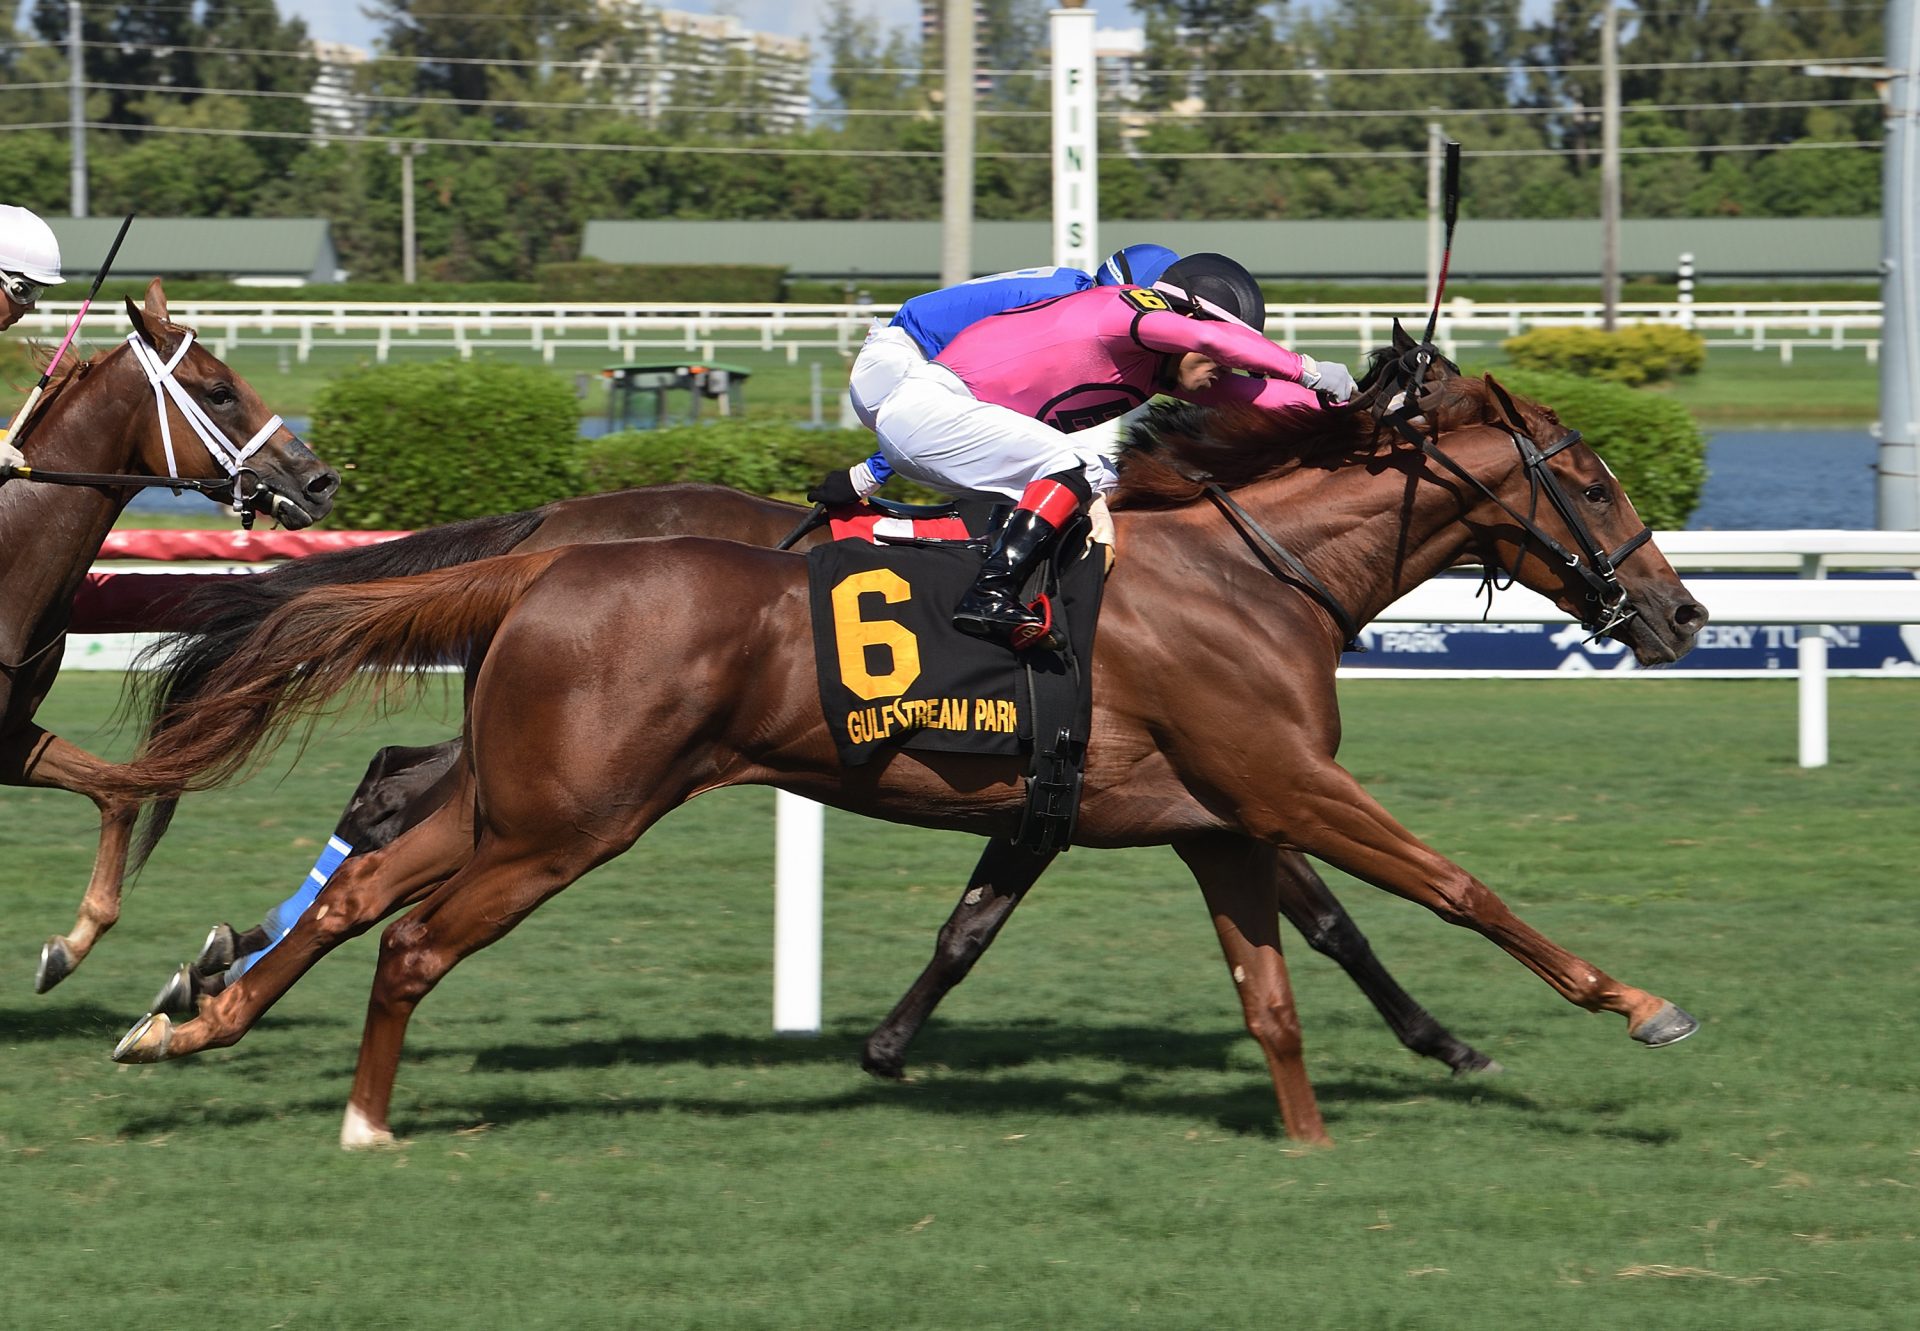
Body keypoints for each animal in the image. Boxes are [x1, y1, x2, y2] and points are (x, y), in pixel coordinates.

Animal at [101, 374, 1712, 1144]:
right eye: (1589, 476)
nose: (1682, 610)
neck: (1249, 568)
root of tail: (548, 554)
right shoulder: (1276, 780)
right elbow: (1442, 887)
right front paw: (1622, 1005)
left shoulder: (1191, 808)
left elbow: (1044, 924)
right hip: (568, 818)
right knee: (408, 909)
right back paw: (321, 1080)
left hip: (528, 797)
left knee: (375, 869)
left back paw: (197, 1013)